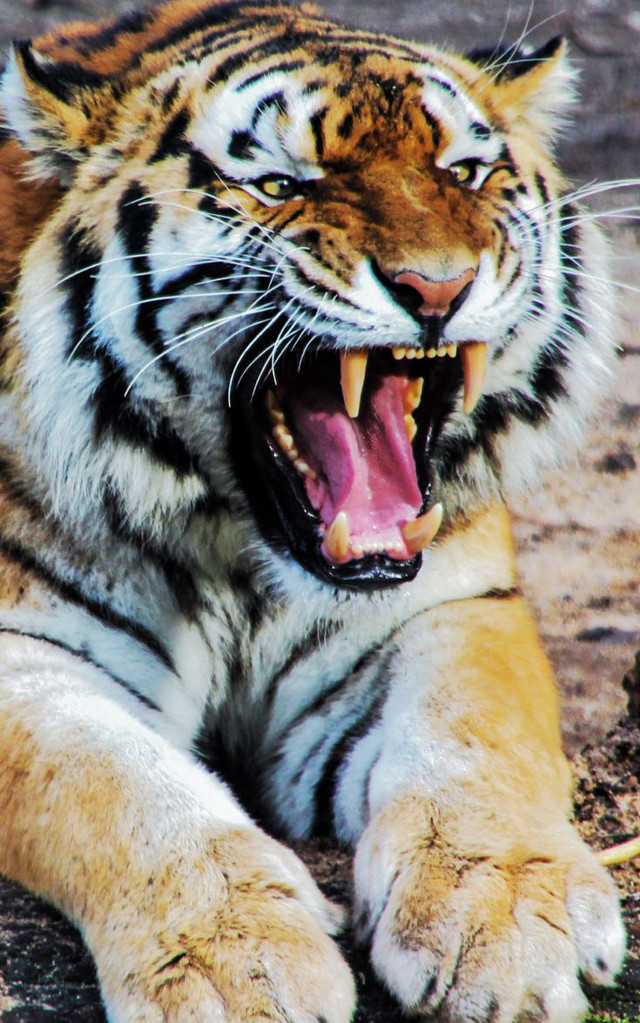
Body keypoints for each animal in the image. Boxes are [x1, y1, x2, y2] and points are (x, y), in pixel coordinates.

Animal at [0, 0, 627, 1020]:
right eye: (281, 185)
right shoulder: (25, 655)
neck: (242, 550)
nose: (437, 286)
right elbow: (115, 781)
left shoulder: (450, 607)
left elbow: (476, 735)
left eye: (463, 172)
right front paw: (236, 964)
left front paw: (502, 912)